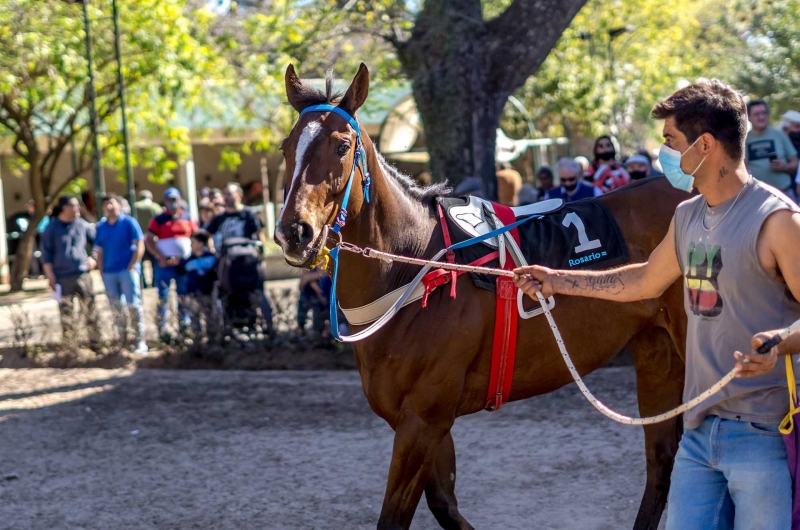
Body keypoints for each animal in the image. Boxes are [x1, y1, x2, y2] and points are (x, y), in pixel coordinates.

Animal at [276, 63, 688, 528]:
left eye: (342, 145)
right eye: (287, 146)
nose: (294, 232)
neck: (415, 268)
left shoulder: (423, 418)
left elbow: (396, 516)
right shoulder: (425, 423)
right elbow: (444, 502)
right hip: (656, 351)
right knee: (661, 460)